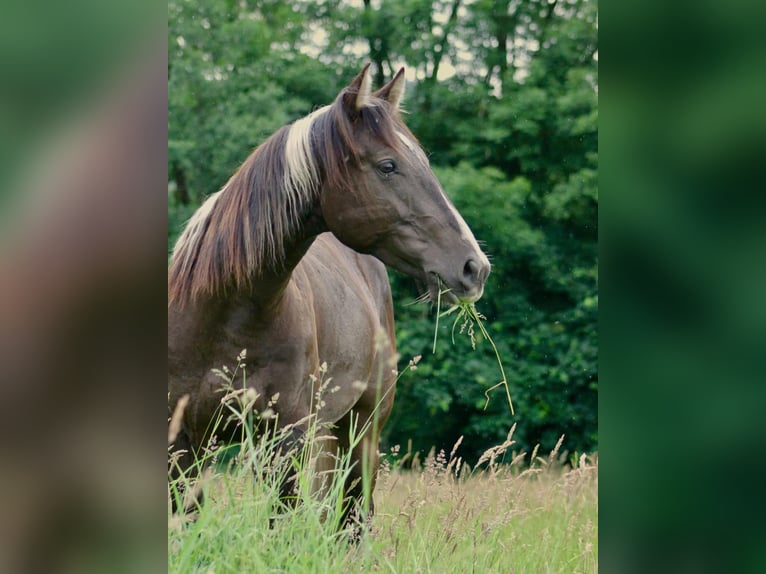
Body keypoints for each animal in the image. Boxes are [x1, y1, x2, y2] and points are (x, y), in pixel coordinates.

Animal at [168, 64, 490, 529]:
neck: (226, 316)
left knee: (354, 518)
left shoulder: (285, 441)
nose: (474, 267)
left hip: (363, 432)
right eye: (388, 165)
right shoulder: (182, 444)